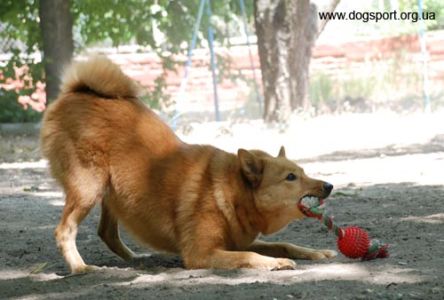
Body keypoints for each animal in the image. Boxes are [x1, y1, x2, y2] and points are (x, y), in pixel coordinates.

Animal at [40, 55, 336, 274]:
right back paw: (81, 268)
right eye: (290, 177)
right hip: (88, 189)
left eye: (303, 172)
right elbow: (252, 255)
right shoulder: (201, 253)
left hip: (112, 193)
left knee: (107, 233)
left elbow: (285, 243)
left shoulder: (235, 242)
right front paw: (278, 263)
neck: (232, 194)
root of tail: (76, 92)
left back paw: (137, 259)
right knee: (64, 231)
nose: (329, 186)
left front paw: (316, 252)